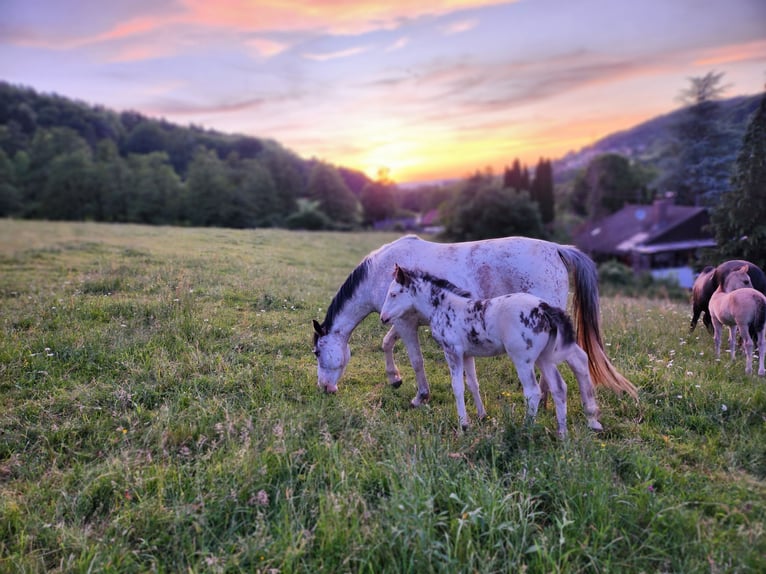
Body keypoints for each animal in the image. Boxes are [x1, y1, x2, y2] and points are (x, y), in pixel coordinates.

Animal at [310, 234, 636, 410]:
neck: (381, 272)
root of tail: (556, 248)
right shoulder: (402, 320)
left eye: (316, 352)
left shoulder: (404, 323)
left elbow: (415, 359)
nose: (324, 389)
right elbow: (386, 343)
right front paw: (394, 378)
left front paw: (420, 396)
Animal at [380, 266, 608, 436]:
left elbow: (457, 387)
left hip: (523, 358)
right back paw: (562, 433)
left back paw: (526, 429)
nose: (383, 318)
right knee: (559, 387)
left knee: (533, 391)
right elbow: (473, 384)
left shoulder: (452, 352)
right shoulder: (467, 354)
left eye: (393, 293)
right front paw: (481, 416)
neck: (444, 308)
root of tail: (544, 308)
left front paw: (463, 424)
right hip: (544, 357)